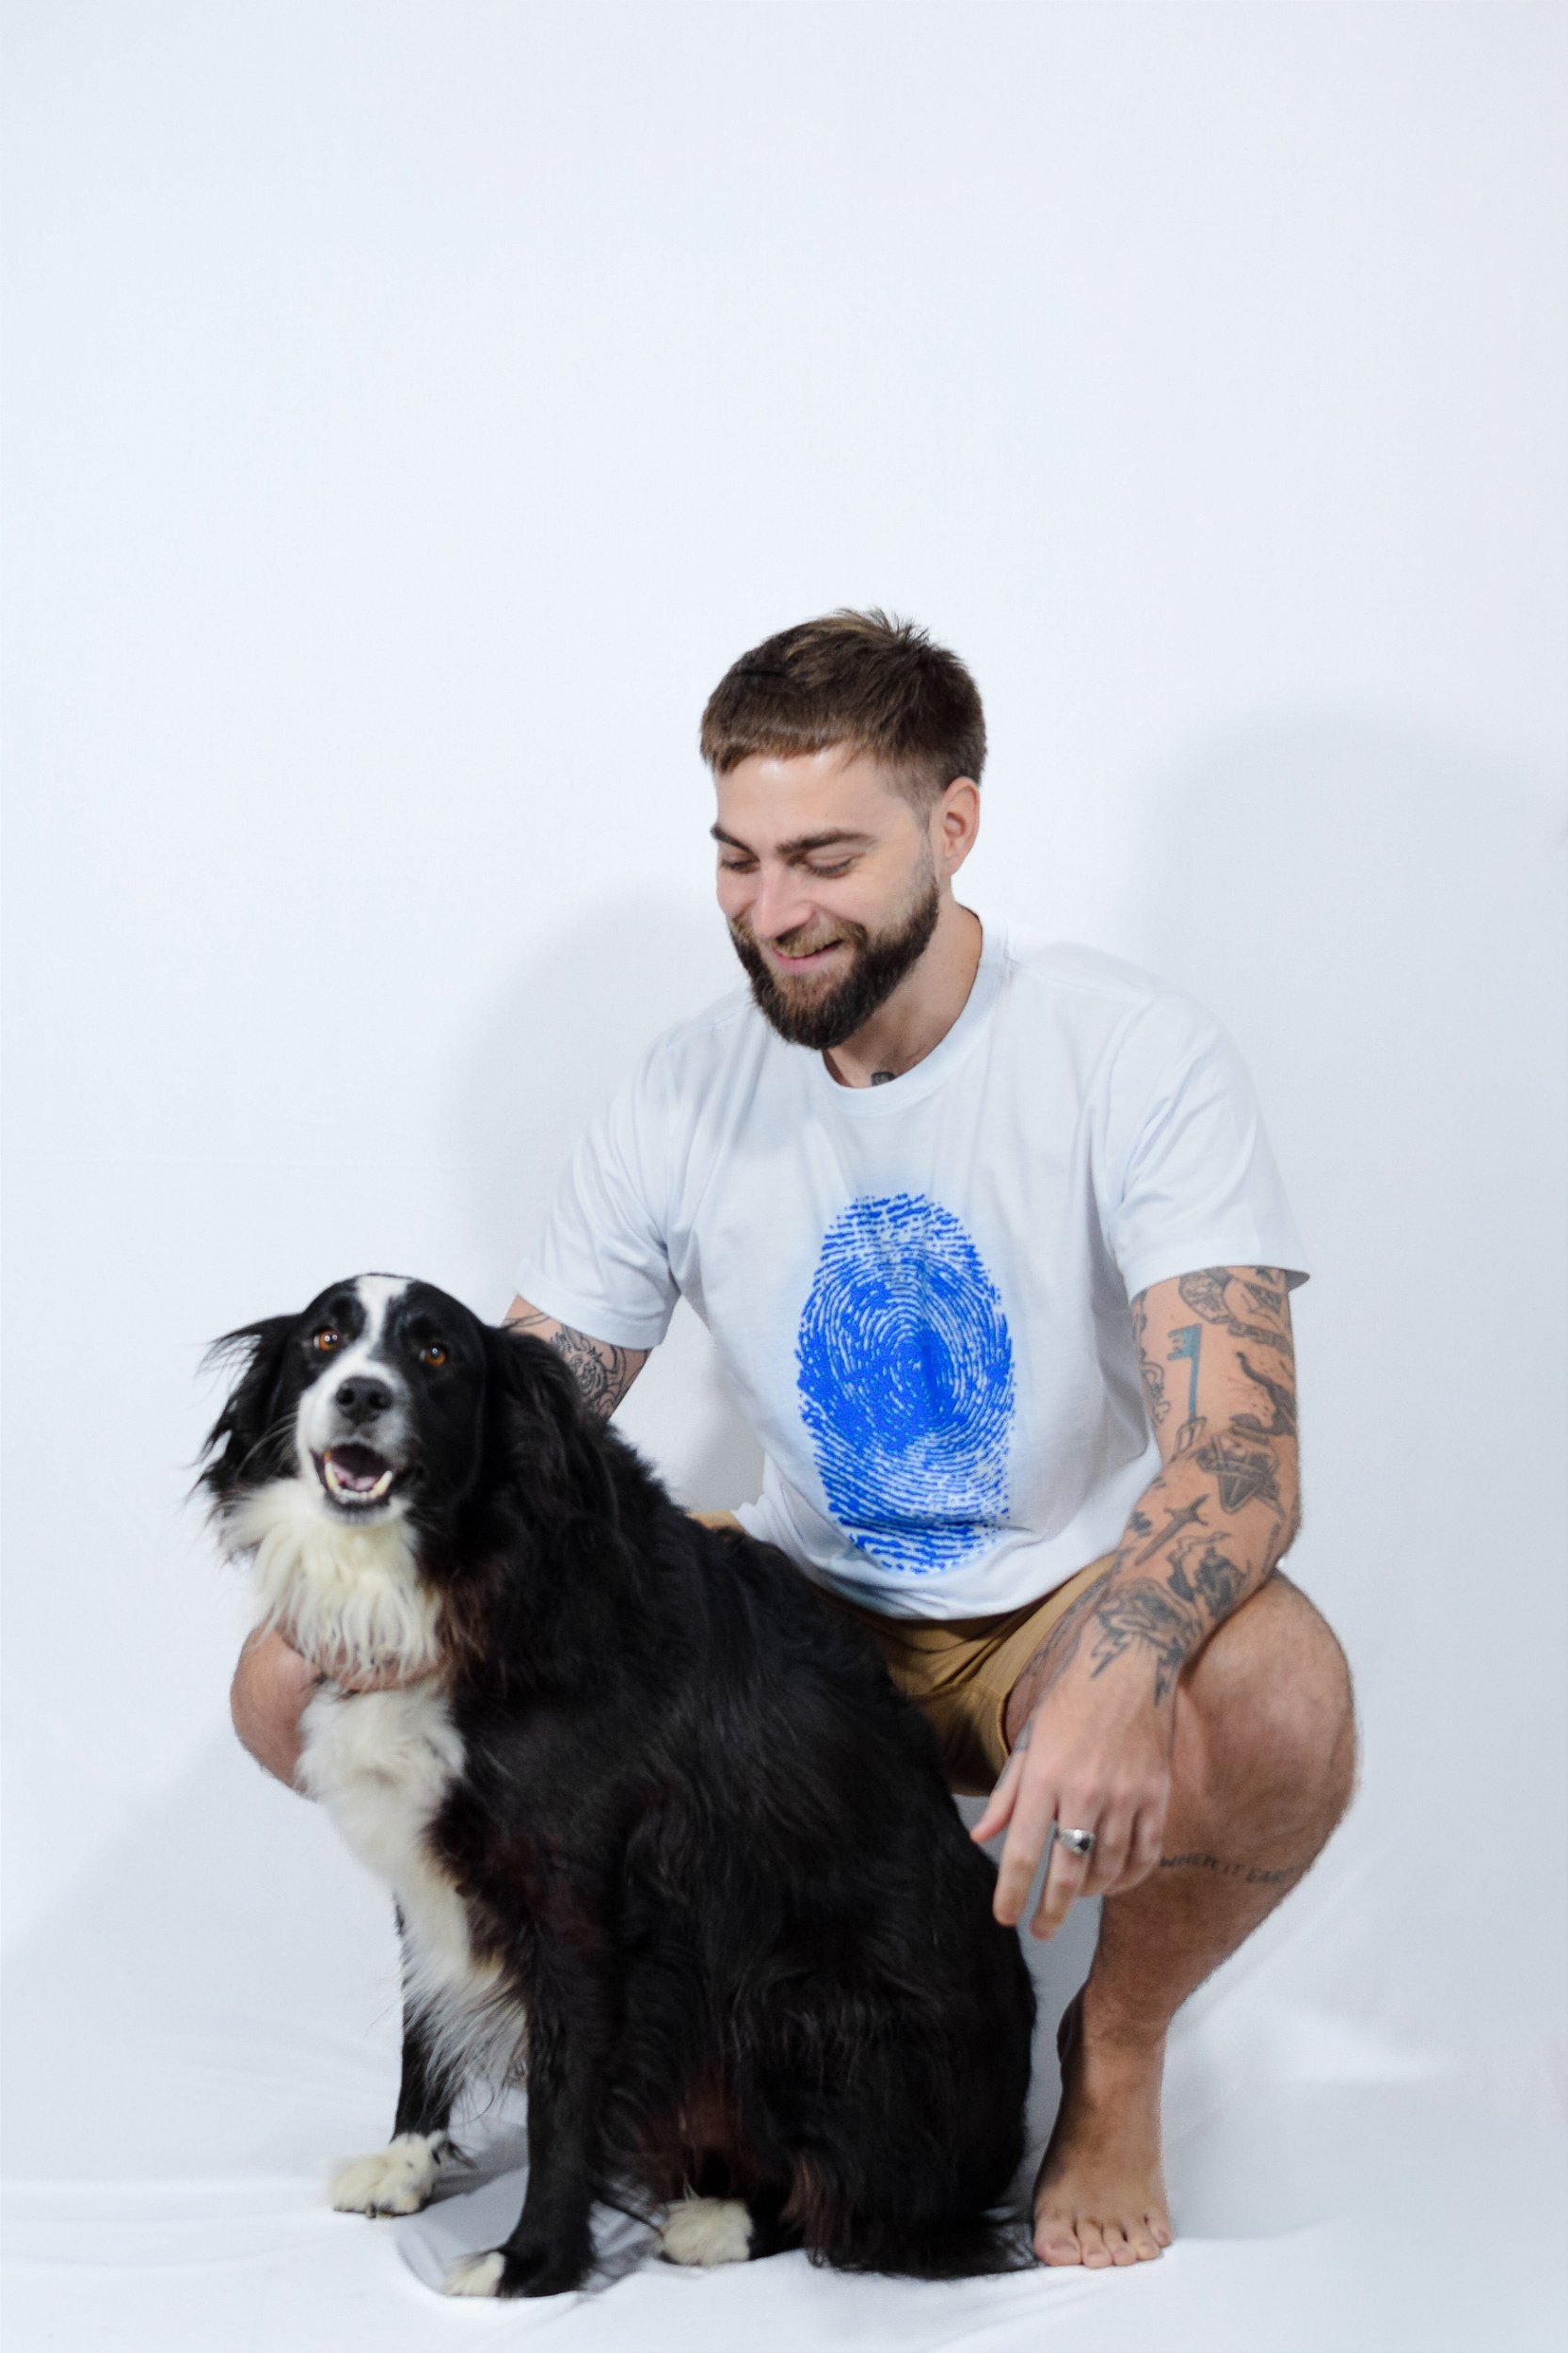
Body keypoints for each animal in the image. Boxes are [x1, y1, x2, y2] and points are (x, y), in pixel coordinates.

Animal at [201, 1272, 1036, 2297]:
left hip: (798, 1994)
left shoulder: (583, 1897)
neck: (458, 1568)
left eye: (435, 1355)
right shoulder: (425, 1864)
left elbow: (563, 2099)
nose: (361, 1394)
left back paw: (726, 2220)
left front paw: (531, 2263)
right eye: (324, 1339)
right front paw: (407, 2166)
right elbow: (420, 2028)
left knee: (871, 2211)